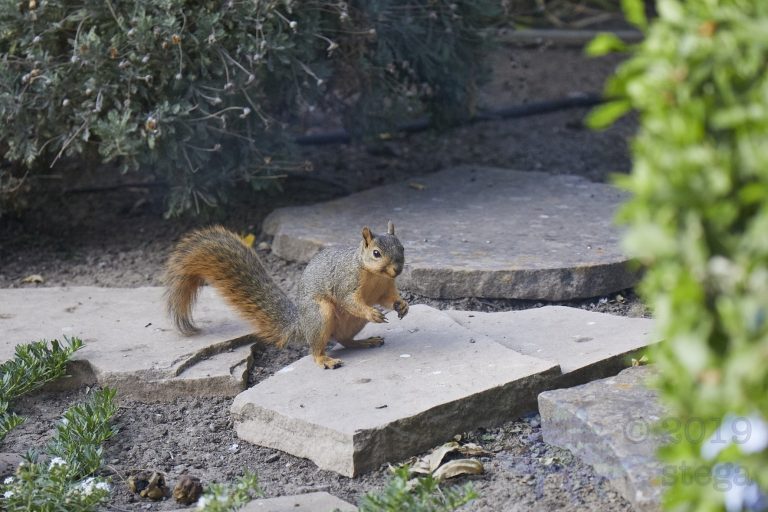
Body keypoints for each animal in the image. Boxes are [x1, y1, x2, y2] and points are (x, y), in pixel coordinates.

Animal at [163, 222, 409, 369]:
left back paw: (365, 341)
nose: (398, 269)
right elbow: (351, 301)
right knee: (316, 348)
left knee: (344, 340)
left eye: (403, 247)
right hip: (320, 314)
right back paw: (324, 359)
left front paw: (402, 305)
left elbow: (388, 299)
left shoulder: (385, 288)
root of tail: (299, 324)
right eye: (376, 253)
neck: (374, 275)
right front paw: (372, 312)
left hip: (350, 324)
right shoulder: (345, 282)